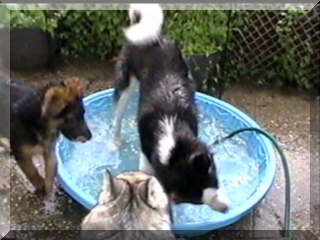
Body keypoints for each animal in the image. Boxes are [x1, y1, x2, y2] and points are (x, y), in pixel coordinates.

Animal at [114, 3, 229, 213]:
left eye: (215, 186)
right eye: (196, 202)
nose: (226, 209)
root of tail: (154, 37)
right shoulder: (147, 161)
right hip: (125, 86)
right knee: (117, 115)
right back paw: (114, 142)